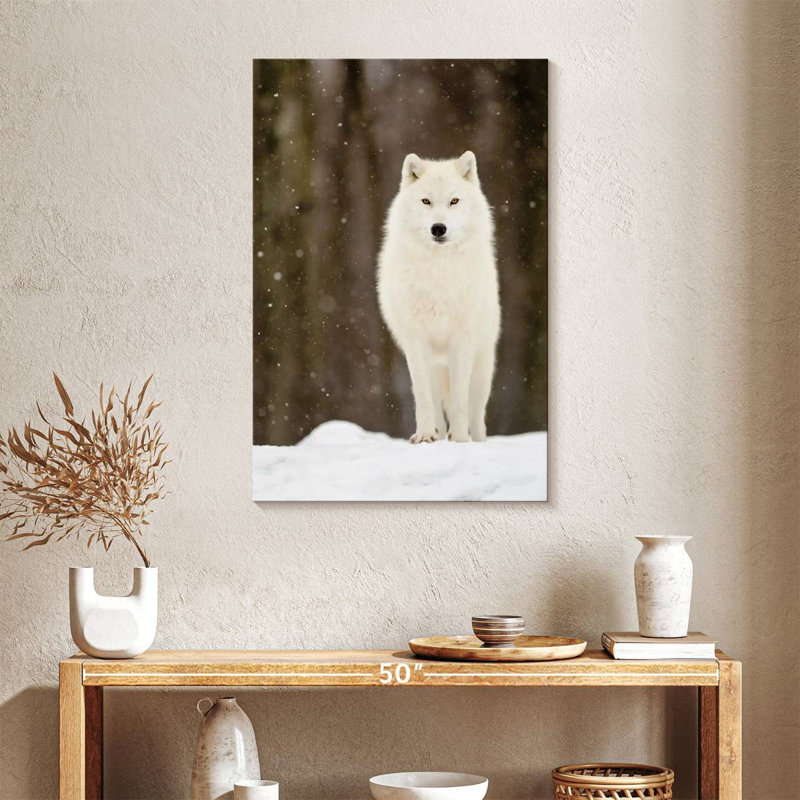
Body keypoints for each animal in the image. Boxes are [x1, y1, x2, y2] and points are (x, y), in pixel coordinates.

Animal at [377, 151, 500, 443]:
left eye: (454, 201)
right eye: (426, 201)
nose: (438, 228)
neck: (439, 271)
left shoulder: (462, 341)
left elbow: (459, 401)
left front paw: (460, 439)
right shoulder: (416, 342)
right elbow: (424, 399)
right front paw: (424, 436)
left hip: (482, 367)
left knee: (476, 413)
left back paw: (475, 440)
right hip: (433, 366)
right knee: (435, 402)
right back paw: (437, 434)